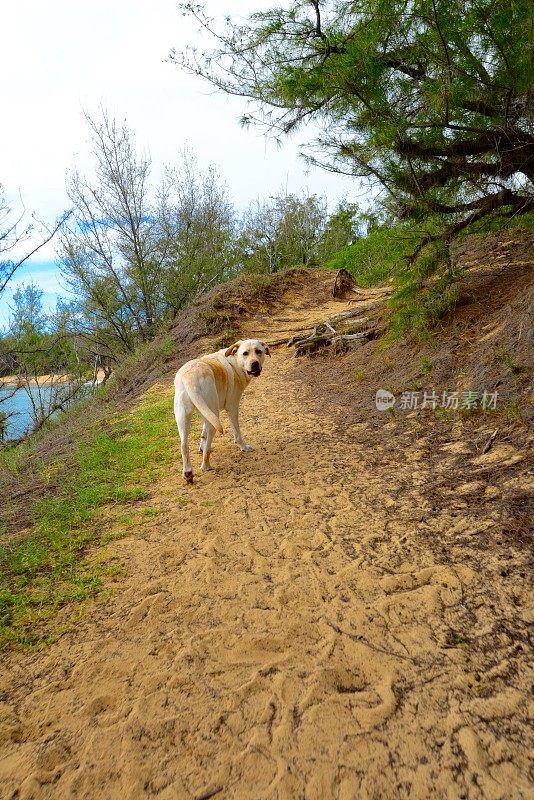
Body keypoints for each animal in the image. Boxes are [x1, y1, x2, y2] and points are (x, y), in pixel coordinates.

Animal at [174, 338, 270, 482]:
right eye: (245, 353)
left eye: (258, 351)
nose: (255, 364)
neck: (235, 362)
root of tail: (189, 377)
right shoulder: (232, 408)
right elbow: (237, 433)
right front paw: (243, 447)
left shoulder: (206, 413)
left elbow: (203, 434)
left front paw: (201, 446)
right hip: (214, 416)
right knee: (207, 450)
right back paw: (206, 466)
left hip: (184, 417)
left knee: (184, 445)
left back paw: (188, 473)